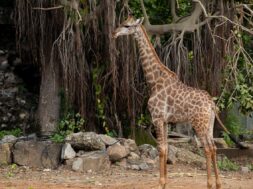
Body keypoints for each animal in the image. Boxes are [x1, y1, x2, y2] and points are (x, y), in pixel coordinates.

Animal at [111, 16, 222, 189]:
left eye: (127, 25)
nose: (114, 33)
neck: (154, 81)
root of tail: (211, 103)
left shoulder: (157, 117)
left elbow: (161, 149)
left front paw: (160, 183)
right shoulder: (164, 120)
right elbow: (166, 147)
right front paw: (165, 183)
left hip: (199, 123)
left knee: (207, 148)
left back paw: (209, 184)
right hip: (209, 123)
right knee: (214, 147)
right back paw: (218, 183)